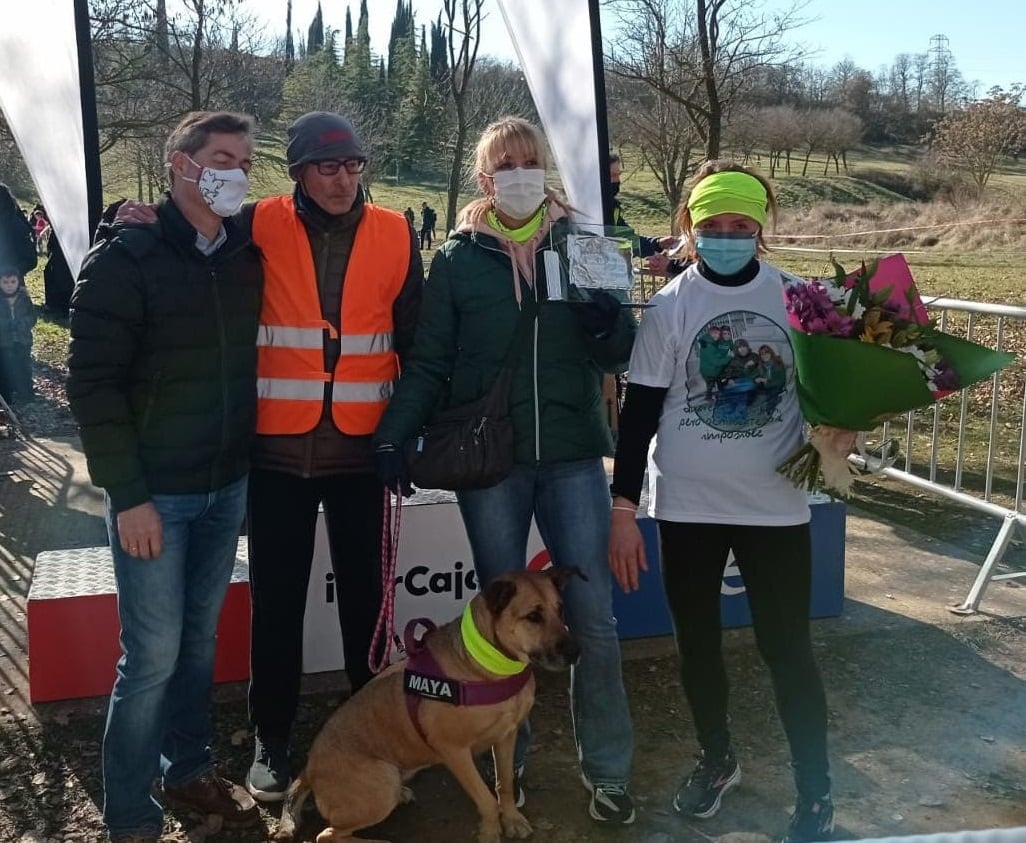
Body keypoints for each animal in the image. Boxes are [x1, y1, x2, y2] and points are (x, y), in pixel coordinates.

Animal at [272, 566, 582, 843]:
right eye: (533, 617)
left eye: (561, 610)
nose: (576, 653)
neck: (486, 664)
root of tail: (310, 768)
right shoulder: (454, 751)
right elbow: (485, 799)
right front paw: (490, 832)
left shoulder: (507, 735)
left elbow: (503, 784)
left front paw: (513, 820)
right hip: (381, 782)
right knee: (327, 835)